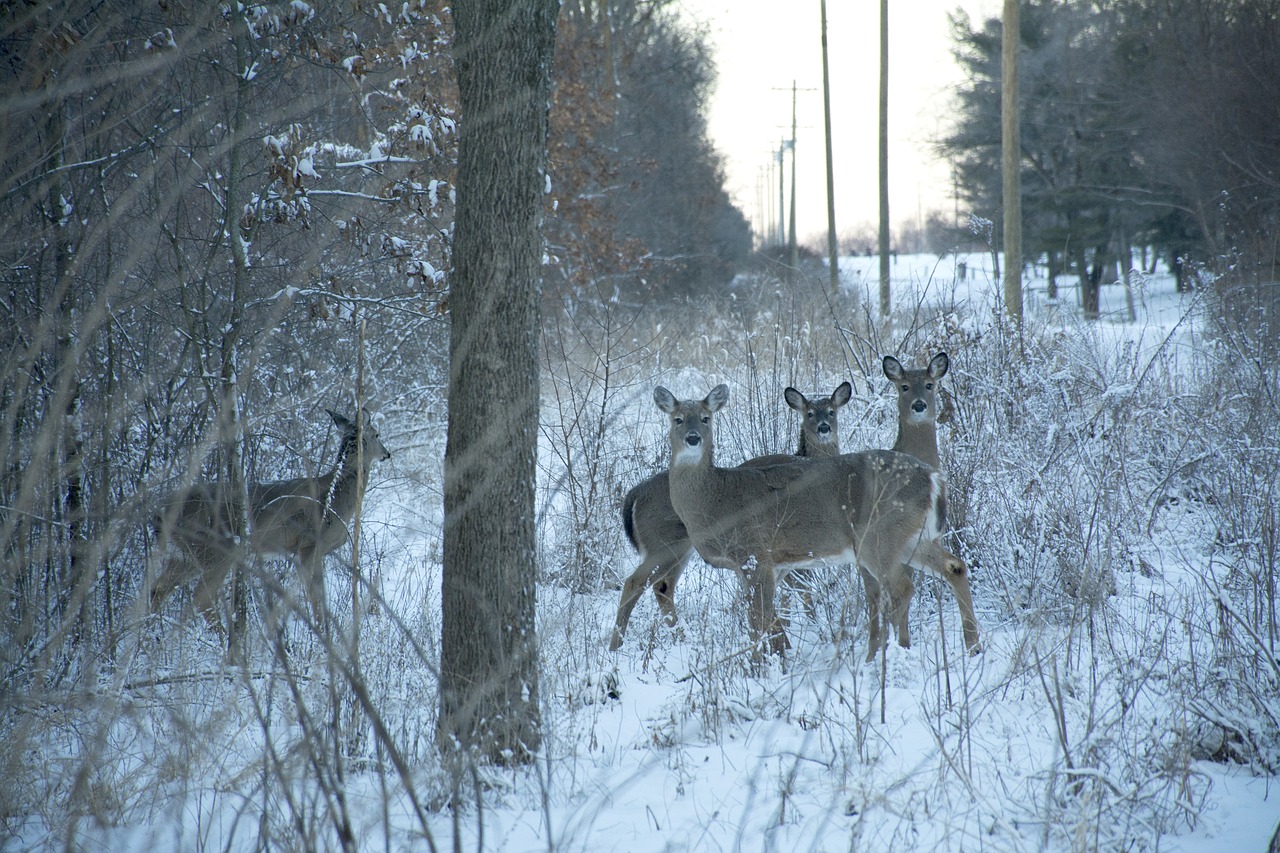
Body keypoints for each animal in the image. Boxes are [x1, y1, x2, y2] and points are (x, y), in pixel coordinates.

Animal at [149, 404, 389, 630]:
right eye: (377, 434)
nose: (387, 454)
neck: (335, 495)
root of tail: (159, 514)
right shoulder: (310, 545)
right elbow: (316, 596)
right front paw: (323, 631)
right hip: (215, 550)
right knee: (201, 598)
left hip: (183, 556)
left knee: (158, 589)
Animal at [606, 381, 849, 648]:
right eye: (810, 413)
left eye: (832, 411)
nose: (824, 427)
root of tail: (633, 495)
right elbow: (798, 589)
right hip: (663, 543)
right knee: (635, 582)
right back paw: (617, 646)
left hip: (679, 549)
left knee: (662, 587)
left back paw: (680, 637)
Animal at [650, 384, 977, 655]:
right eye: (678, 419)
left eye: (706, 418)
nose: (693, 438)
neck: (716, 500)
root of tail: (933, 478)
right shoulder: (769, 564)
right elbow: (765, 620)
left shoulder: (755, 554)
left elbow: (760, 619)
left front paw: (762, 666)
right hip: (912, 537)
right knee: (954, 567)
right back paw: (971, 644)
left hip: (879, 535)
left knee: (902, 588)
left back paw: (888, 653)